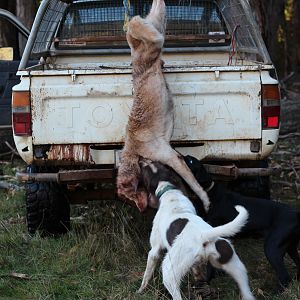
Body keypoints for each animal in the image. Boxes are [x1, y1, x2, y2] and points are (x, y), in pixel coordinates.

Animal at [116, 0, 210, 212]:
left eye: (129, 197)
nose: (140, 207)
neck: (134, 150)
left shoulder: (173, 158)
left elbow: (195, 185)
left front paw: (206, 201)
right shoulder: (173, 155)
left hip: (151, 45)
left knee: (147, 32)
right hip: (157, 22)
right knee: (155, 11)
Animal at [137, 161, 254, 300]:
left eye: (144, 170)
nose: (140, 161)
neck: (170, 192)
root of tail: (204, 235)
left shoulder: (154, 250)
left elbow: (146, 275)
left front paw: (140, 290)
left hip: (169, 272)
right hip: (236, 268)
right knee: (247, 292)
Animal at [184, 155, 300, 290]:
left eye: (191, 161)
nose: (184, 155)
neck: (209, 194)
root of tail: (296, 214)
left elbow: (210, 266)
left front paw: (206, 282)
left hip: (272, 247)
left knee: (285, 277)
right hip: (290, 246)